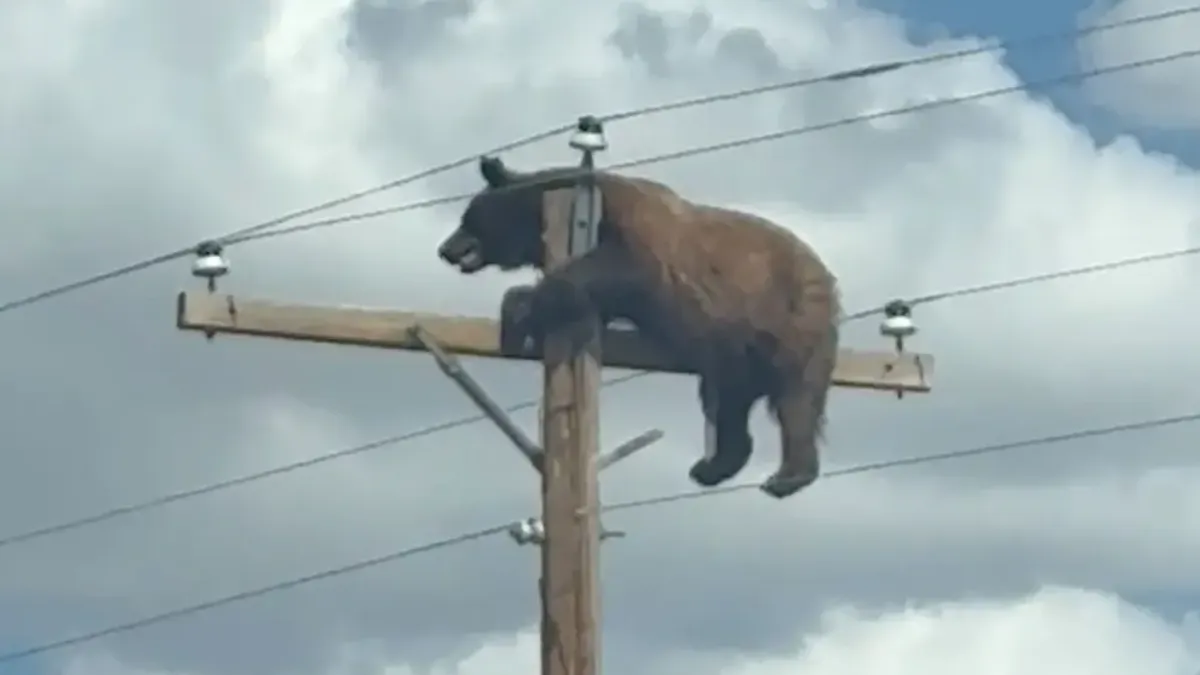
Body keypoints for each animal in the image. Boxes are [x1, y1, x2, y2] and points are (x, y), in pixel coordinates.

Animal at [436, 155, 841, 499]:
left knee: (796, 398)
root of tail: (826, 276)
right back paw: (712, 466)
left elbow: (617, 267)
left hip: (791, 318)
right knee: (729, 402)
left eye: (467, 217)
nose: (445, 249)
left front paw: (518, 309)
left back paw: (786, 476)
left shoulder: (636, 232)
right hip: (734, 350)